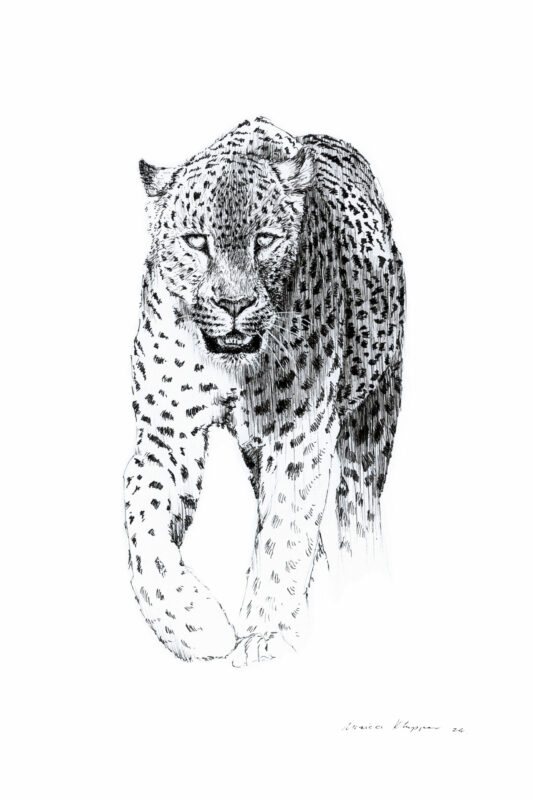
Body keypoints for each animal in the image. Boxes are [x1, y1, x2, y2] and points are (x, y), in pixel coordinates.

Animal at [124, 117, 405, 666]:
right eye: (197, 241)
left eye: (265, 240)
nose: (234, 304)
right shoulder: (170, 432)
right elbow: (142, 520)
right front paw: (195, 625)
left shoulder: (299, 433)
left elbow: (285, 531)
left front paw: (267, 634)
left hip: (375, 409)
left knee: (357, 505)